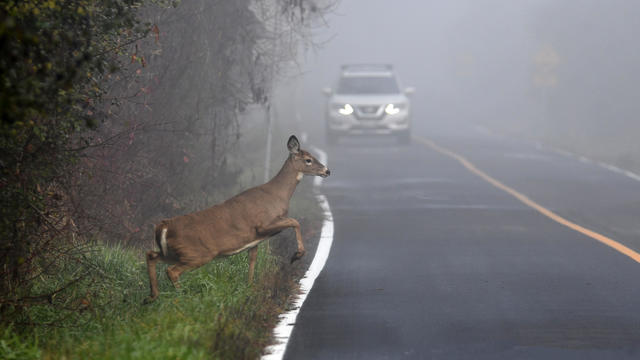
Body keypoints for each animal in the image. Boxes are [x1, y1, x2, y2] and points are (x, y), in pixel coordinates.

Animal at [144, 135, 330, 304]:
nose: (327, 171)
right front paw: (297, 255)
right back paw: (181, 298)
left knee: (151, 255)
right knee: (171, 271)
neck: (278, 196)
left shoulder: (255, 240)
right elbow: (295, 221)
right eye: (308, 160)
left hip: (174, 252)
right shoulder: (263, 224)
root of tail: (164, 226)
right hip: (197, 253)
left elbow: (252, 262)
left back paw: (152, 297)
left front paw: (249, 288)